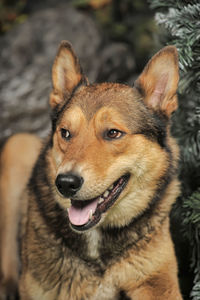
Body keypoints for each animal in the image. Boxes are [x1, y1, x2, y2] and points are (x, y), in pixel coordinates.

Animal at [0, 41, 183, 298]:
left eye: (113, 133)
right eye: (65, 132)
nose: (65, 183)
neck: (96, 239)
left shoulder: (158, 281)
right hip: (18, 145)